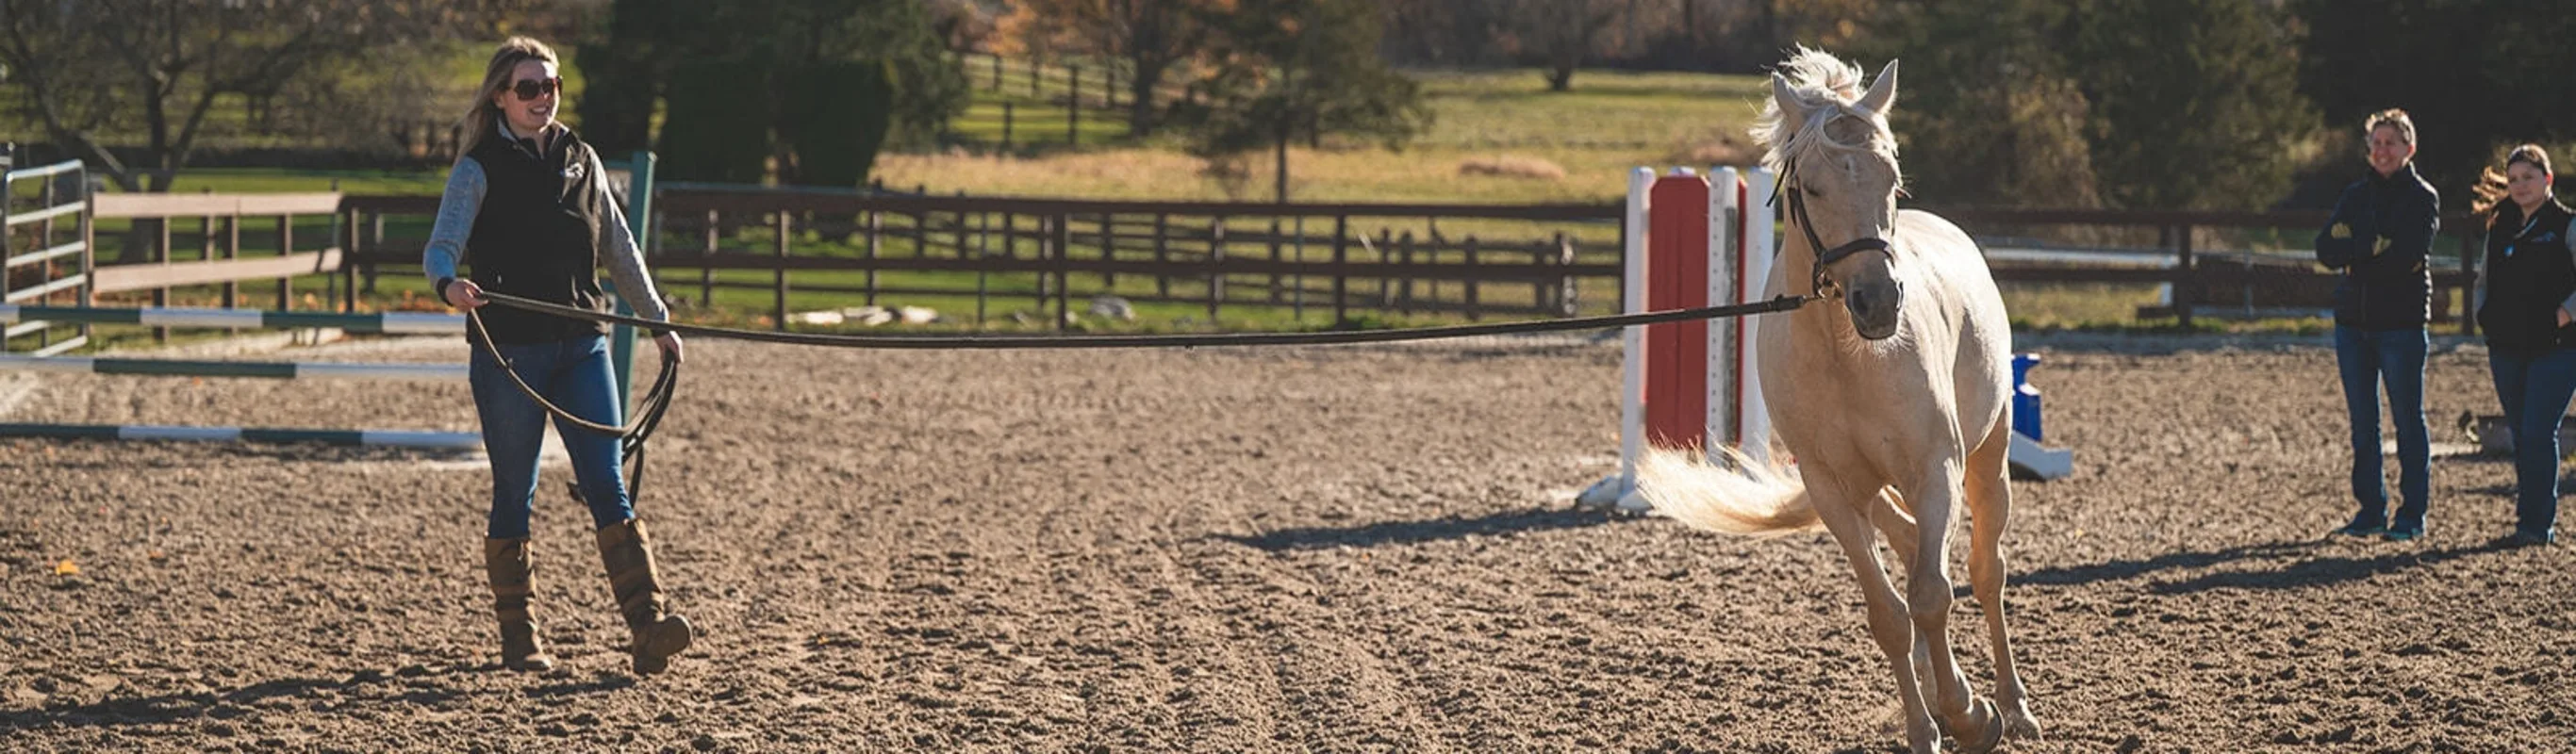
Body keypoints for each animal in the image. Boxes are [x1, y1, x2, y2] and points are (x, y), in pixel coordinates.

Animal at [1636, 47, 2042, 753]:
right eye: (1813, 188)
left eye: (1893, 183)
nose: (1879, 302)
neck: (1845, 353)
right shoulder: (1832, 489)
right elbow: (1891, 614)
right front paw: (1927, 727)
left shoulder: (1935, 469)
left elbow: (1933, 594)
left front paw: (1971, 716)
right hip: (1873, 486)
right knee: (1909, 543)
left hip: (1988, 459)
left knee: (1986, 568)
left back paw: (2012, 705)